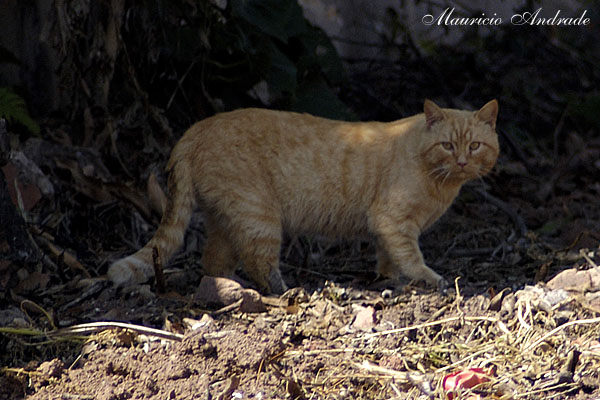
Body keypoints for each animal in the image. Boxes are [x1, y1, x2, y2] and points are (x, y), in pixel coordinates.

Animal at [108, 99, 496, 294]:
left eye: (475, 146)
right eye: (448, 145)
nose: (462, 161)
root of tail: (195, 129)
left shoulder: (388, 229)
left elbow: (389, 259)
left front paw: (391, 280)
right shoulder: (392, 220)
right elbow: (411, 256)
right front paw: (427, 279)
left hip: (226, 217)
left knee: (213, 261)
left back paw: (229, 288)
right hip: (258, 214)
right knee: (258, 262)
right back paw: (284, 292)